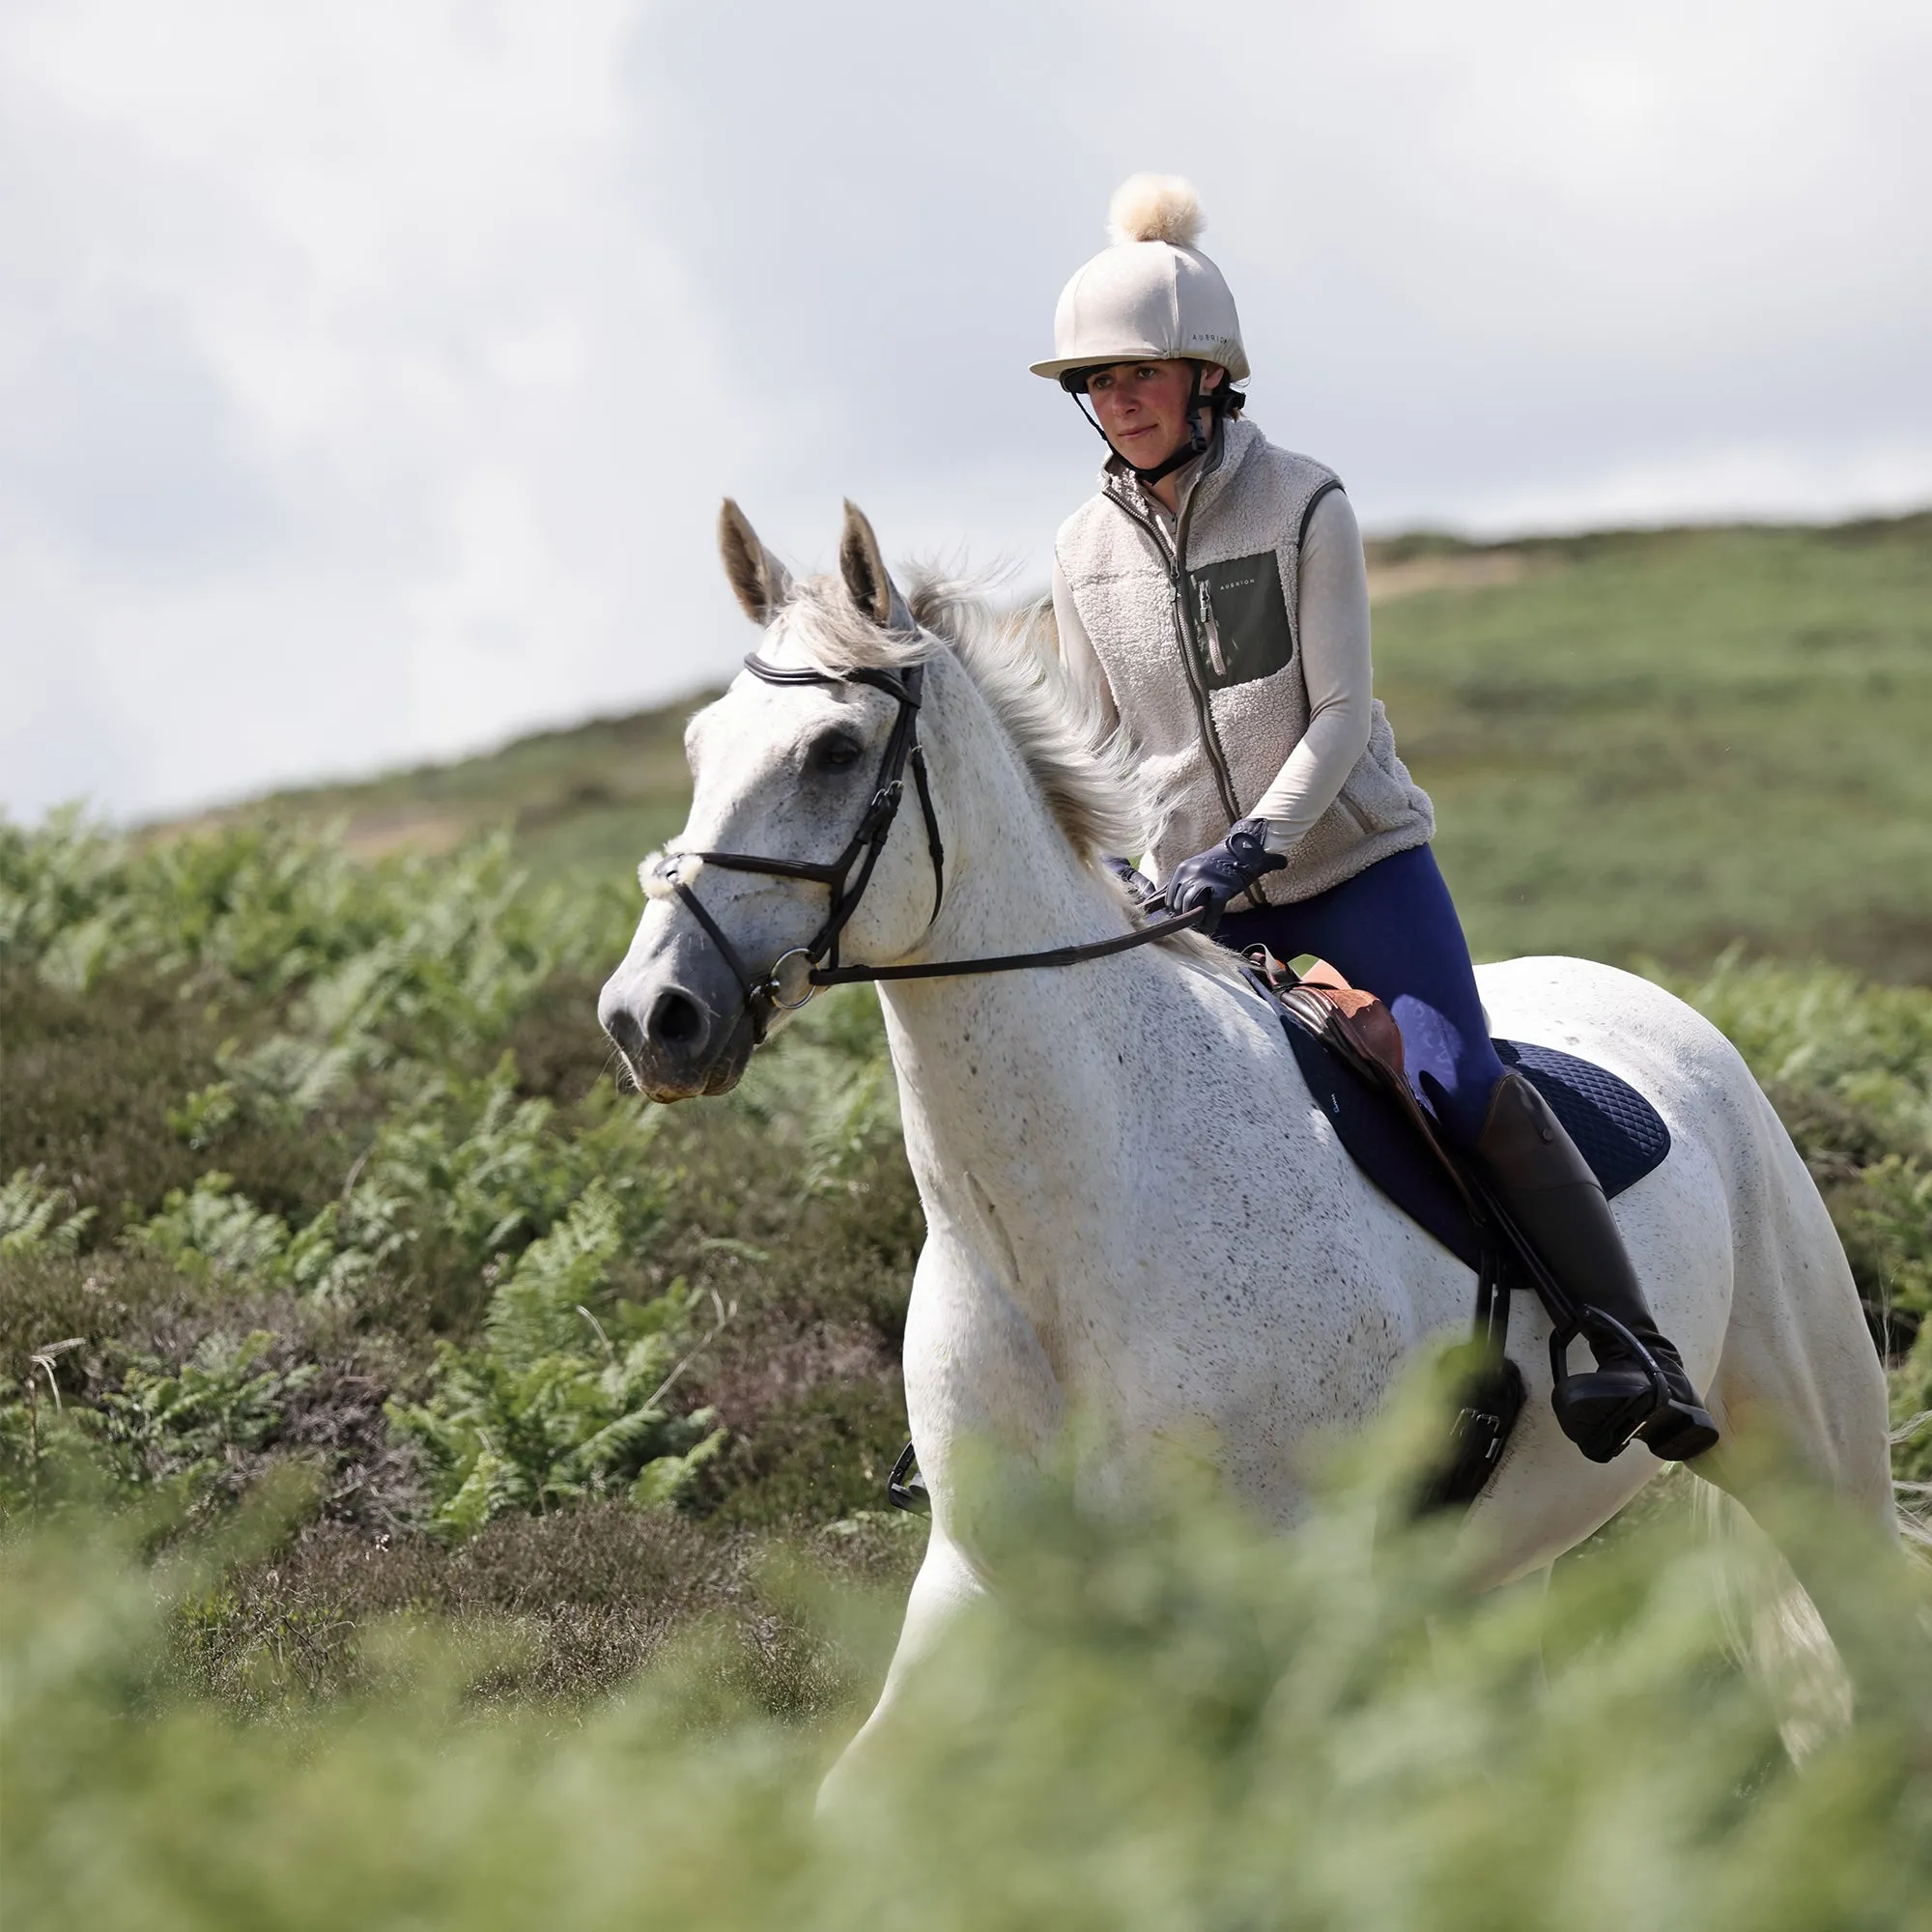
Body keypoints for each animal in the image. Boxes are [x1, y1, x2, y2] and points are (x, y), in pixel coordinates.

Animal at [599, 502, 1886, 1793]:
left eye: (830, 749)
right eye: (699, 744)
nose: (649, 1015)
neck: (1060, 1238)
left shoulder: (1270, 1609)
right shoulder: (977, 1589)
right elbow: (853, 1797)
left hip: (1810, 1452)